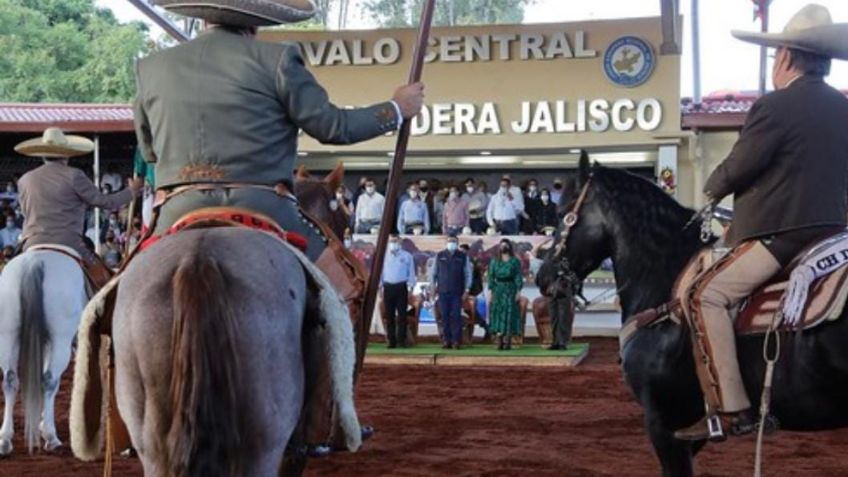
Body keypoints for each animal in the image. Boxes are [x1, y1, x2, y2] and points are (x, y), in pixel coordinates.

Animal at [0, 247, 87, 456]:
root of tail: (35, 263)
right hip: (60, 340)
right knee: (49, 381)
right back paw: (51, 437)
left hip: (7, 336)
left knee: (10, 381)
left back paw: (5, 439)